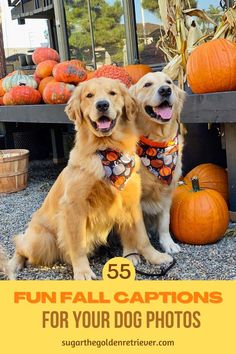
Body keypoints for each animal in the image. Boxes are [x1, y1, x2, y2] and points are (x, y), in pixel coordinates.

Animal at [9, 77, 172, 280]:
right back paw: (13, 265)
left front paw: (154, 257)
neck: (107, 149)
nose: (102, 105)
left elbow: (141, 236)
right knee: (20, 245)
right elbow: (77, 244)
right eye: (89, 95)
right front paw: (83, 272)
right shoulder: (74, 206)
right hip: (42, 240)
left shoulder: (131, 201)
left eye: (112, 93)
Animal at [129, 72, 186, 254]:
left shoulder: (167, 193)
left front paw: (168, 243)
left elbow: (164, 222)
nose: (166, 90)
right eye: (147, 84)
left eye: (169, 82)